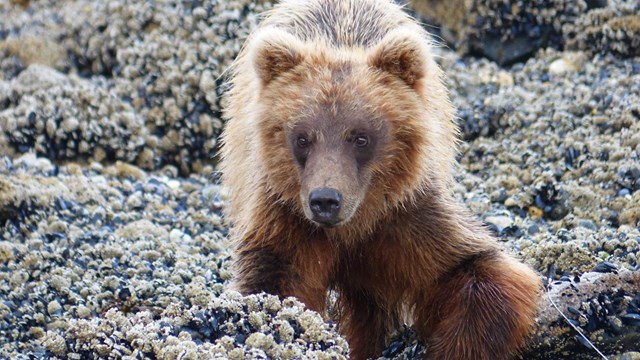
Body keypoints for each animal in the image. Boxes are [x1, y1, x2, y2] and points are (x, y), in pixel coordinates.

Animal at [219, 1, 540, 358]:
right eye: (302, 137)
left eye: (360, 137)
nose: (325, 199)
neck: (353, 228)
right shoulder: (286, 217)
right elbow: (273, 283)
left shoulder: (407, 218)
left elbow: (479, 270)